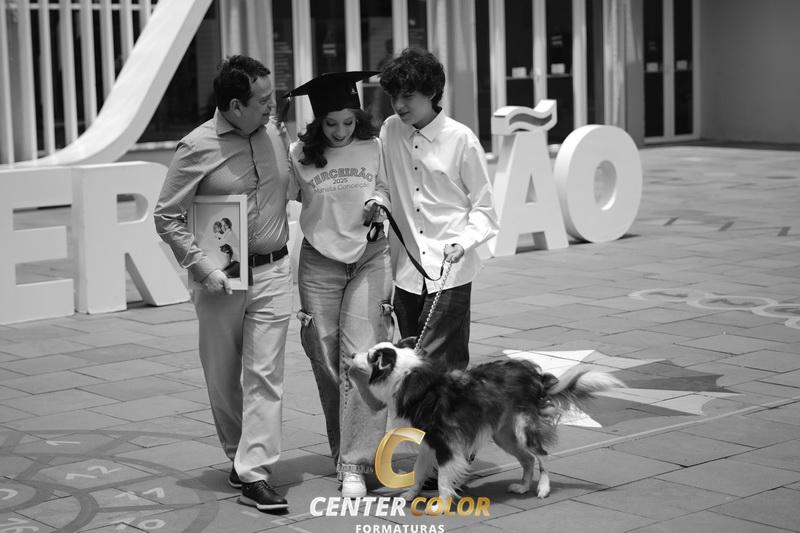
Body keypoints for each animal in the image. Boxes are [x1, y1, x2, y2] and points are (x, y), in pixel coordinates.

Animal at [349, 337, 624, 504]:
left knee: (542, 456)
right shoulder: (429, 441)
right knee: (527, 459)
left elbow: (443, 477)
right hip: (505, 435)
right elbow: (418, 471)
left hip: (523, 429)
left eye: (371, 356)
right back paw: (522, 487)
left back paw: (543, 489)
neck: (405, 377)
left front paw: (441, 504)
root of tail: (536, 377)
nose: (351, 354)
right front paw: (409, 495)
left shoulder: (446, 442)